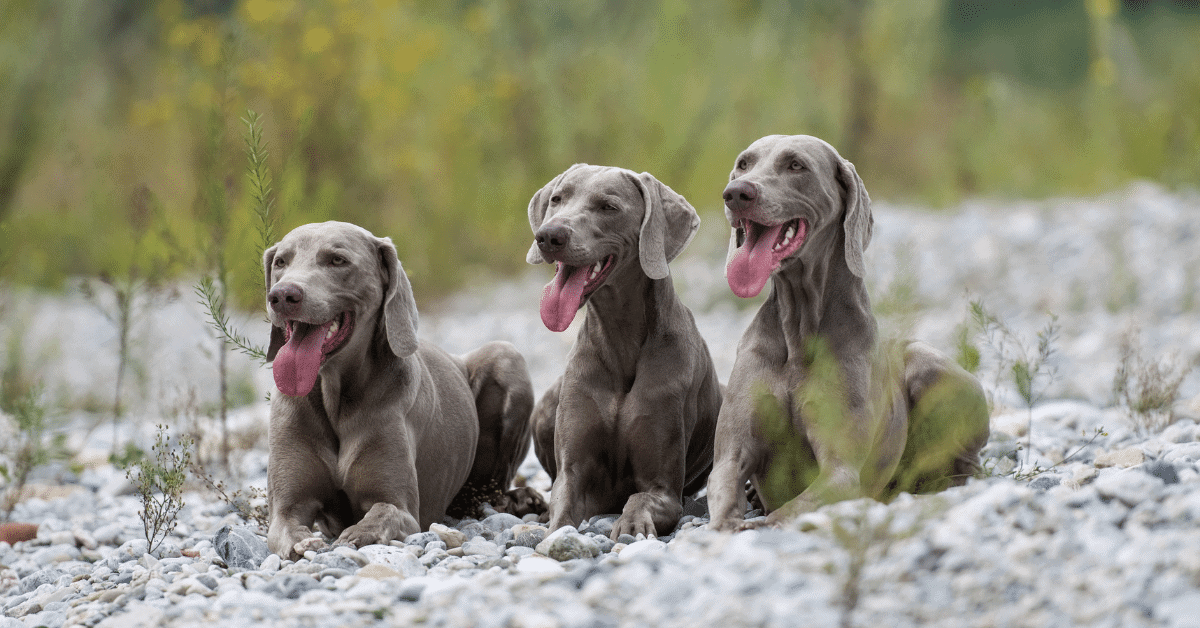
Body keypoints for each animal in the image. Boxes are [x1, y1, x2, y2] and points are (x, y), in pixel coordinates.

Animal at [266, 220, 544, 559]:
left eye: (337, 260)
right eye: (281, 262)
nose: (282, 295)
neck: (335, 395)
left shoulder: (403, 508)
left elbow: (381, 513)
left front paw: (354, 535)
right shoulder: (287, 508)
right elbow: (287, 528)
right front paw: (304, 542)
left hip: (507, 357)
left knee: (489, 489)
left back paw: (520, 499)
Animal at [528, 164, 720, 537]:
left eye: (608, 207)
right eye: (557, 199)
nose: (548, 235)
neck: (620, 340)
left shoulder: (664, 487)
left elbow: (639, 497)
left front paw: (631, 524)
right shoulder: (573, 473)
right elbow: (562, 505)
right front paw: (553, 530)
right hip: (545, 406)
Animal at [700, 136, 984, 530]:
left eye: (796, 165)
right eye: (744, 163)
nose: (736, 193)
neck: (799, 329)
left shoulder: (840, 471)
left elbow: (788, 512)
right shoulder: (731, 454)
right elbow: (724, 493)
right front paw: (726, 524)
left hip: (929, 365)